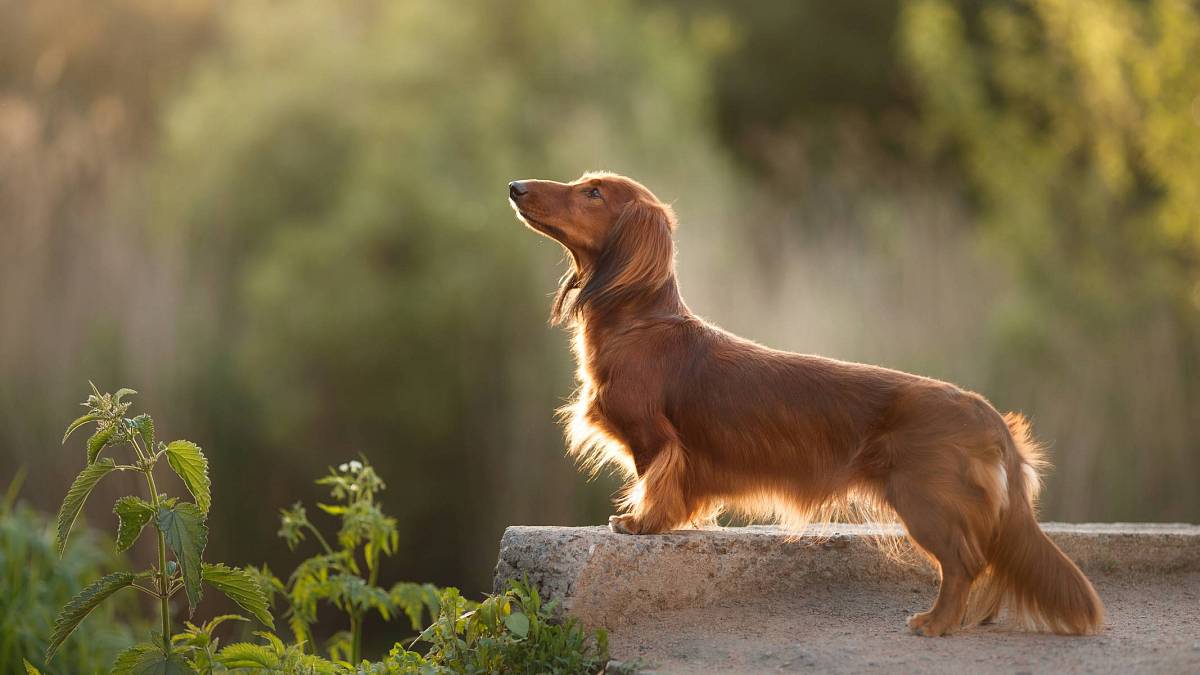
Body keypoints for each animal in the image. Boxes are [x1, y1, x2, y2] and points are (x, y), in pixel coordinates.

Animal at [508, 170, 1104, 634]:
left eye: (593, 193)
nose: (516, 187)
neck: (640, 325)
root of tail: (989, 416)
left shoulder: (655, 438)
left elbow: (654, 480)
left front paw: (639, 522)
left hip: (925, 502)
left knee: (963, 564)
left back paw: (936, 623)